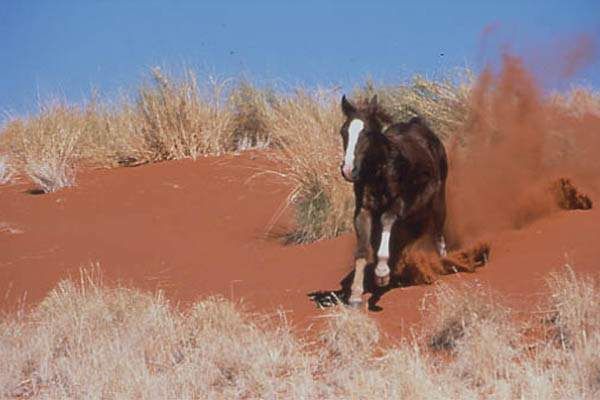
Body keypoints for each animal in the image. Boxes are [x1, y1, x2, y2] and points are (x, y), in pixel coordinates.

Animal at [340, 95, 448, 308]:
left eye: (367, 133)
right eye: (343, 132)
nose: (348, 170)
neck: (379, 173)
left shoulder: (399, 204)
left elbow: (386, 221)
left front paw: (382, 273)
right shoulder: (363, 210)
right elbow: (362, 250)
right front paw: (355, 295)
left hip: (438, 198)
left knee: (439, 231)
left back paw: (443, 261)